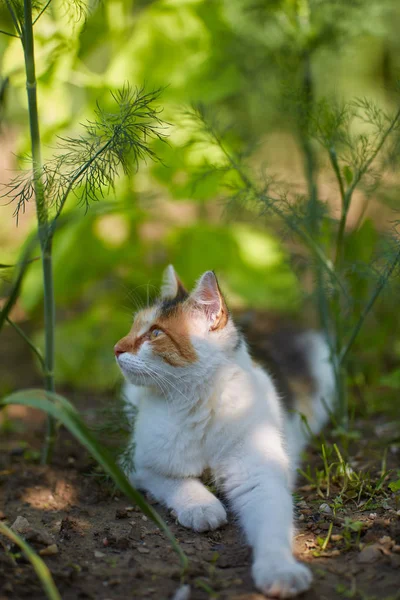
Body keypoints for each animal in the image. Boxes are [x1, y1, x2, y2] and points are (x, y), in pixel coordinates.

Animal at [115, 268, 334, 600]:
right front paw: (203, 508)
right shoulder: (139, 465)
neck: (195, 404)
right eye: (133, 326)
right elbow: (180, 483)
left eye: (155, 333)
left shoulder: (260, 476)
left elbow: (272, 528)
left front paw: (280, 572)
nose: (116, 348)